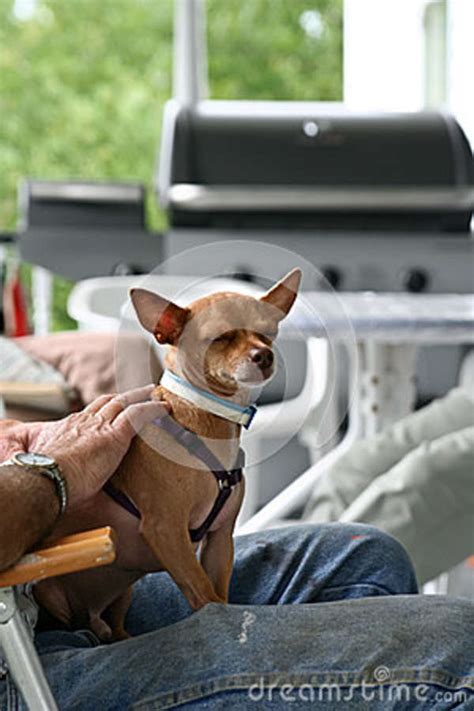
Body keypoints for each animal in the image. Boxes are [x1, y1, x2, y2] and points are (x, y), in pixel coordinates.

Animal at [36, 270, 304, 644]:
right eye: (220, 338)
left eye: (268, 332)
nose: (263, 355)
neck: (205, 420)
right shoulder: (166, 531)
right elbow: (204, 594)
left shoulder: (219, 541)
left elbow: (218, 592)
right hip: (52, 595)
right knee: (72, 622)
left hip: (124, 593)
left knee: (113, 624)